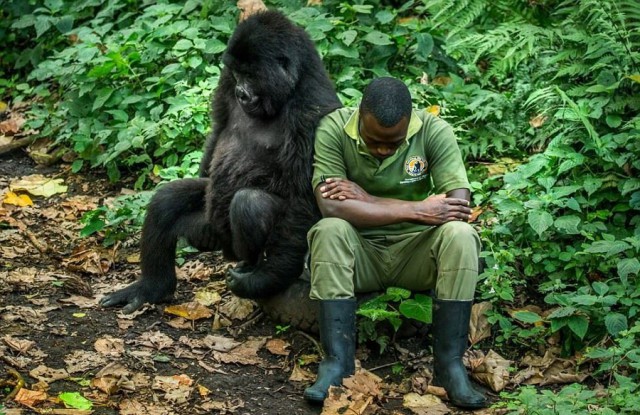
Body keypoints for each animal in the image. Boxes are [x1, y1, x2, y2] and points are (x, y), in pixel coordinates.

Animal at [99, 10, 342, 316]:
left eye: (250, 74)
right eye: (238, 73)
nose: (241, 92)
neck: (291, 85)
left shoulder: (313, 111)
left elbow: (301, 198)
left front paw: (265, 279)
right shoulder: (225, 80)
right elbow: (218, 129)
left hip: (233, 249)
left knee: (249, 204)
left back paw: (251, 268)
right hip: (210, 228)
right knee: (169, 199)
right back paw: (152, 286)